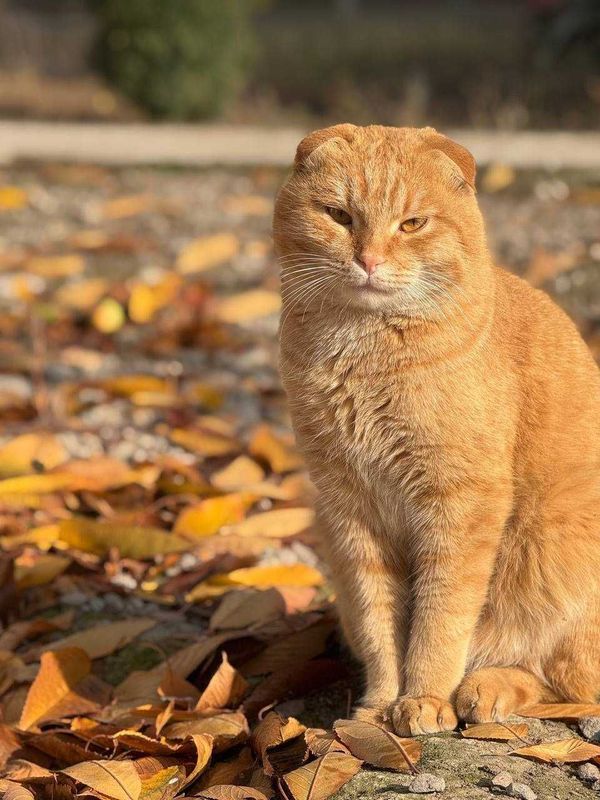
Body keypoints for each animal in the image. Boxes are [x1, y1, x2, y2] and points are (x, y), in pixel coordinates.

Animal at [274, 126, 600, 736]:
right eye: (339, 216)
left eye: (412, 224)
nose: (368, 259)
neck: (365, 355)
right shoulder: (351, 509)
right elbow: (381, 622)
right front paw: (380, 705)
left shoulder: (460, 505)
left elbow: (439, 617)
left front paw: (424, 698)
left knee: (562, 679)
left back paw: (485, 688)